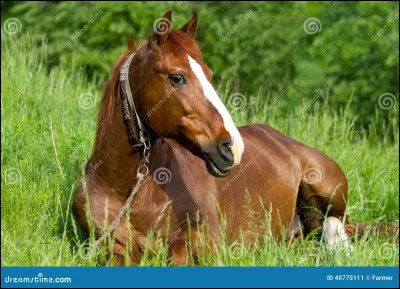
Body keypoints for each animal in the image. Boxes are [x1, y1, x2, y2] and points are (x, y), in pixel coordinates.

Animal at [72, 10, 354, 264]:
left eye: (208, 74)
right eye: (177, 77)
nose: (233, 147)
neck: (125, 188)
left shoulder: (207, 247)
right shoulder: (111, 246)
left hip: (327, 190)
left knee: (338, 226)